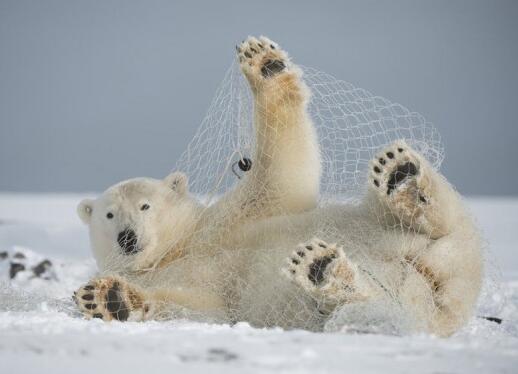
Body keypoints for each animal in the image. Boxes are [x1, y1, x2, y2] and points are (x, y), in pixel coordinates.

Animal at [73, 37, 484, 336]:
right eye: (109, 214)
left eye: (145, 206)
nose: (127, 237)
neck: (175, 250)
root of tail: (442, 303)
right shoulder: (185, 280)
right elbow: (200, 307)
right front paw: (110, 298)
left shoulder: (225, 223)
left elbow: (279, 177)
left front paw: (264, 65)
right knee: (344, 307)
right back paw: (324, 270)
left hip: (394, 235)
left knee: (443, 227)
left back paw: (402, 179)